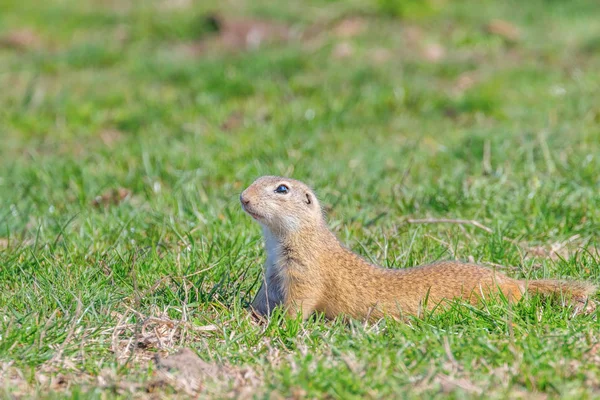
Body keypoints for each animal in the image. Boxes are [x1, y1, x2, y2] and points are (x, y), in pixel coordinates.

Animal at [240, 177, 596, 320]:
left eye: (281, 189)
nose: (242, 197)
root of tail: (514, 282)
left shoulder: (305, 271)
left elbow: (300, 302)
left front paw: (280, 325)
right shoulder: (272, 273)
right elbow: (263, 297)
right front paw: (247, 313)